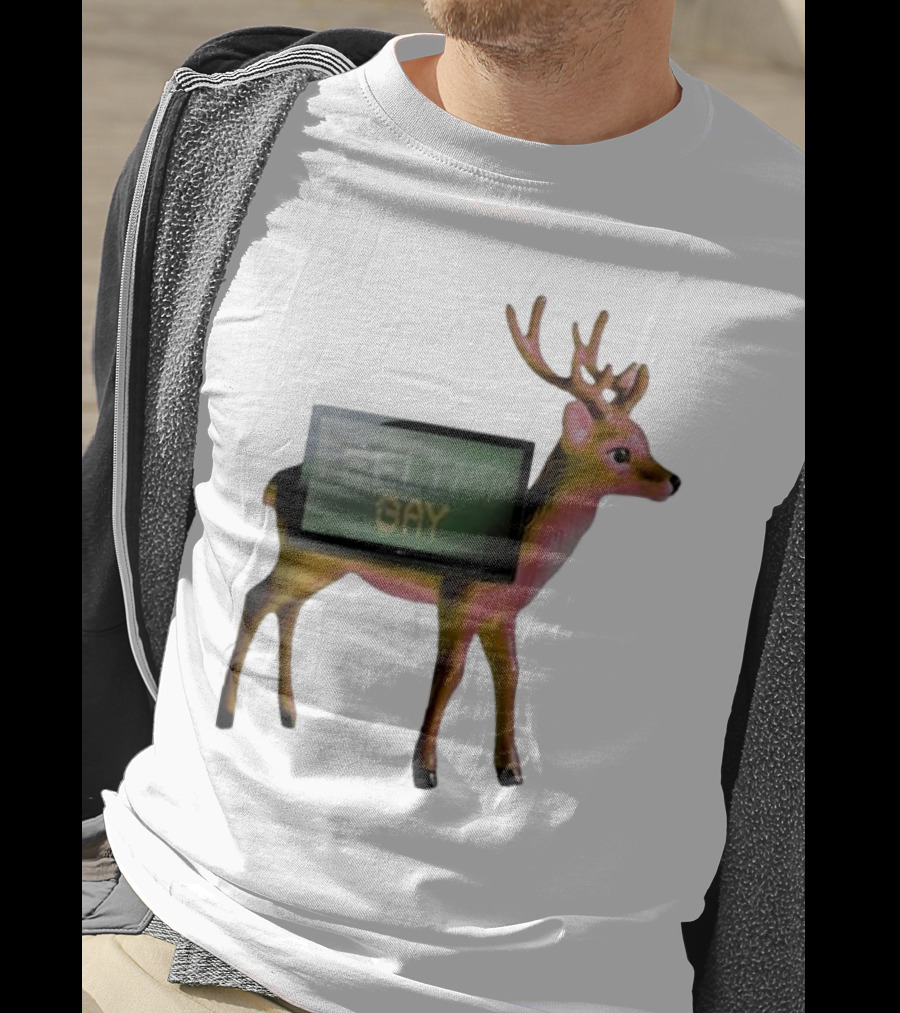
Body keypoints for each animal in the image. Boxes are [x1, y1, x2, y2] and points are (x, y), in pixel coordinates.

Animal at [215, 297, 680, 789]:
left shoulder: (501, 613)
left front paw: (510, 770)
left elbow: (511, 675)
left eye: (646, 441)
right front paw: (425, 770)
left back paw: (288, 715)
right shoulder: (457, 595)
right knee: (256, 597)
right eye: (619, 452)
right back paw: (227, 715)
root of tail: (272, 483)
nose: (674, 480)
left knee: (287, 606)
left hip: (320, 563)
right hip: (308, 555)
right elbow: (450, 672)